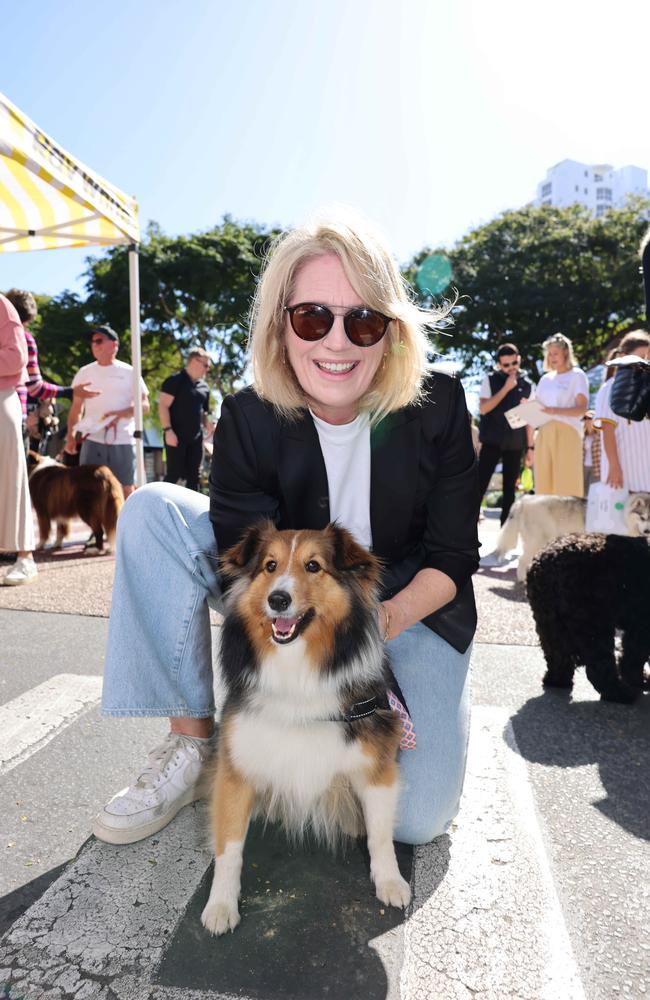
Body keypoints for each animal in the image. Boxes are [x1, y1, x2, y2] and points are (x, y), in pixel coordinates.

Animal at [200, 524, 408, 936]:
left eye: (314, 566)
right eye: (270, 565)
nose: (278, 599)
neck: (296, 668)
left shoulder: (376, 762)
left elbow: (381, 833)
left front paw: (390, 881)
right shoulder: (236, 766)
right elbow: (228, 846)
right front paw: (220, 905)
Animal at [528, 532, 648, 704]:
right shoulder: (641, 623)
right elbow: (635, 655)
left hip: (549, 623)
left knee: (557, 656)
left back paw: (557, 680)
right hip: (593, 622)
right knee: (599, 667)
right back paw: (619, 693)